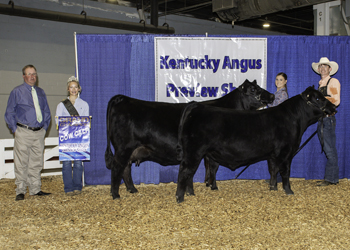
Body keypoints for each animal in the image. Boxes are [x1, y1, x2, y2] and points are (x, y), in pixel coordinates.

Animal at [105, 79, 274, 199]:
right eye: (254, 89)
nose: (272, 95)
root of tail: (122, 99)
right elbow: (213, 167)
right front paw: (213, 187)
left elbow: (202, 169)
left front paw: (197, 189)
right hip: (124, 147)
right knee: (117, 167)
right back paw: (116, 194)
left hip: (131, 150)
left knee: (125, 168)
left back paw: (132, 190)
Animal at [176, 86, 338, 203]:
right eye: (318, 98)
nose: (334, 107)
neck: (295, 119)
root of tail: (197, 107)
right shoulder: (286, 152)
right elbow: (285, 172)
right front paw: (289, 191)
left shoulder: (273, 155)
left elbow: (273, 170)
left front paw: (273, 188)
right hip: (194, 151)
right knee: (185, 171)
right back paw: (180, 198)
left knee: (188, 172)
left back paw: (190, 194)